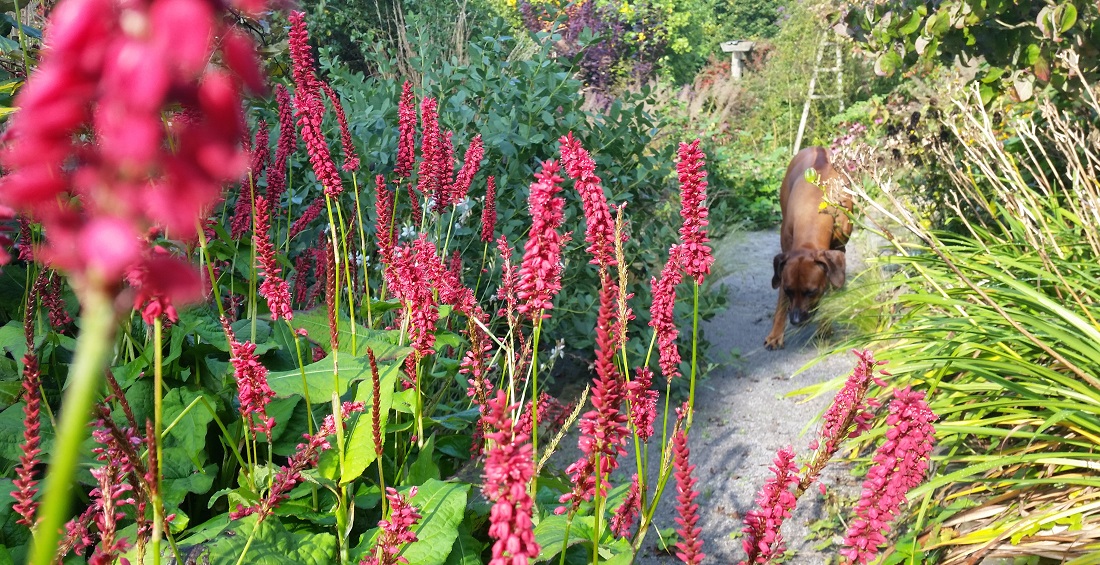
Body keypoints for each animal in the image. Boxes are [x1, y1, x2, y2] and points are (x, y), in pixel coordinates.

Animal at [765, 146, 849, 347]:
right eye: (789, 290)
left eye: (811, 292)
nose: (795, 320)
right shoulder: (786, 251)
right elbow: (781, 297)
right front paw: (776, 334)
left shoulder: (838, 249)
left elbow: (831, 290)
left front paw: (825, 326)